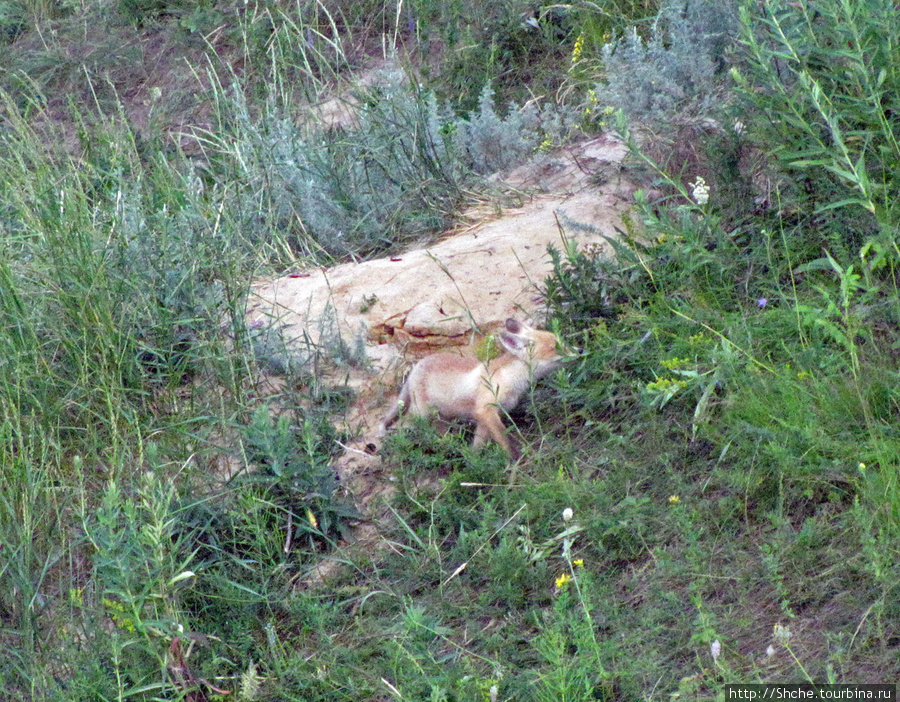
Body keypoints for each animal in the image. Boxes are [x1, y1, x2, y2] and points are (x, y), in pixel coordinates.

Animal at [378, 320, 564, 462]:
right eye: (555, 347)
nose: (573, 353)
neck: (510, 376)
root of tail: (415, 367)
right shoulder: (485, 409)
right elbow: (505, 440)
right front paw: (514, 461)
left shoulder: (487, 416)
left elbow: (478, 444)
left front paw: (474, 462)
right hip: (422, 414)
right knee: (407, 428)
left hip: (442, 416)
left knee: (441, 433)